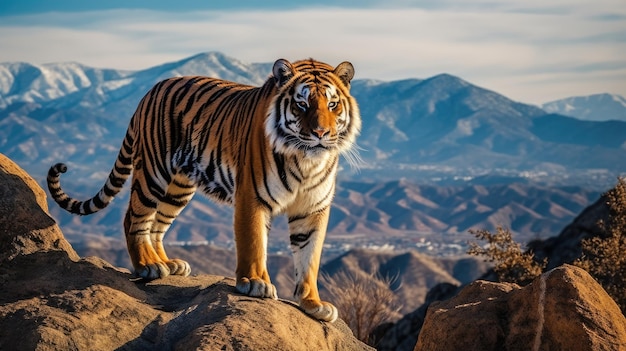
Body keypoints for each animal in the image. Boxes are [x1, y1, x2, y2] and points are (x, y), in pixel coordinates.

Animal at [45, 57, 360, 322]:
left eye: (332, 105)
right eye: (302, 104)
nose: (320, 134)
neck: (306, 160)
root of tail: (149, 91)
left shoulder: (313, 209)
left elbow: (309, 257)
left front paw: (313, 304)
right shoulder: (252, 197)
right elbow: (254, 243)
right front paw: (255, 283)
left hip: (178, 189)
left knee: (156, 227)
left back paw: (166, 263)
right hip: (153, 173)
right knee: (134, 218)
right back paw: (147, 265)